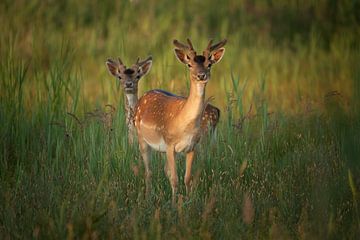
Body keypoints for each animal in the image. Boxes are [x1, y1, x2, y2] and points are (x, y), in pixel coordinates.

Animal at [134, 38, 226, 202]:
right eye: (189, 64)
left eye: (209, 64)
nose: (201, 75)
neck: (184, 125)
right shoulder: (170, 144)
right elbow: (175, 179)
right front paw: (174, 203)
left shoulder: (192, 147)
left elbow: (187, 178)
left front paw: (189, 201)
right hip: (142, 139)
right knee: (148, 172)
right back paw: (148, 198)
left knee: (164, 170)